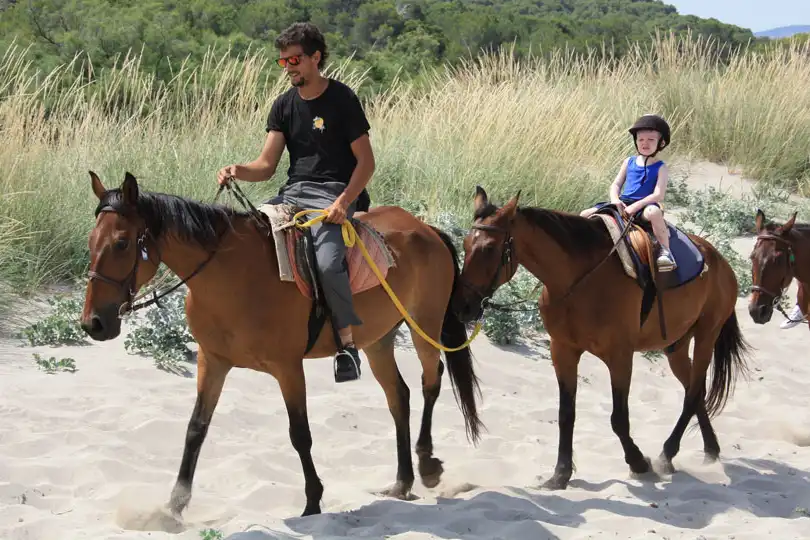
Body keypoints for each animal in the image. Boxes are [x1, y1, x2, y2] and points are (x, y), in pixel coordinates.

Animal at [78, 171, 485, 517]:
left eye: (121, 243)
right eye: (91, 242)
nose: (93, 323)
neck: (231, 276)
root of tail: (426, 228)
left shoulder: (288, 368)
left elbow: (299, 434)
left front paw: (313, 503)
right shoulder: (213, 361)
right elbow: (196, 428)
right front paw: (174, 507)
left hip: (424, 325)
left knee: (431, 380)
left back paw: (427, 465)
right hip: (378, 340)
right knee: (399, 396)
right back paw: (402, 482)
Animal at [452, 186, 751, 489]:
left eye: (489, 248)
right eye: (464, 244)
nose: (462, 307)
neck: (578, 280)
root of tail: (720, 261)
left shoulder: (620, 357)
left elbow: (618, 419)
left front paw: (638, 462)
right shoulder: (563, 351)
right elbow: (566, 414)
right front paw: (560, 474)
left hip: (706, 336)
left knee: (692, 395)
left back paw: (666, 454)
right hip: (676, 348)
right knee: (696, 391)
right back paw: (710, 449)